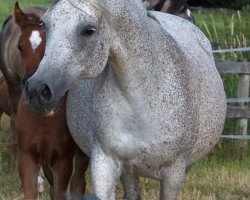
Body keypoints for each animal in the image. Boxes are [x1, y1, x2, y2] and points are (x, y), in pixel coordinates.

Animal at [23, 0, 227, 199]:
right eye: (45, 25)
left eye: (89, 30)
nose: (37, 90)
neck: (143, 100)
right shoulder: (104, 165)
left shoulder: (173, 174)